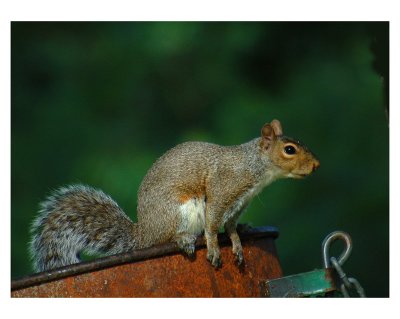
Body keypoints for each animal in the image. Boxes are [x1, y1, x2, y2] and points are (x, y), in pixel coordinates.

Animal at [29, 120, 320, 272]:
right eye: (290, 150)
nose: (316, 165)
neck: (254, 169)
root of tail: (144, 233)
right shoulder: (221, 190)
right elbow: (213, 225)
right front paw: (214, 248)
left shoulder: (238, 205)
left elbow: (230, 227)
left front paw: (237, 242)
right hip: (178, 210)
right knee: (165, 237)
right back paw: (182, 238)